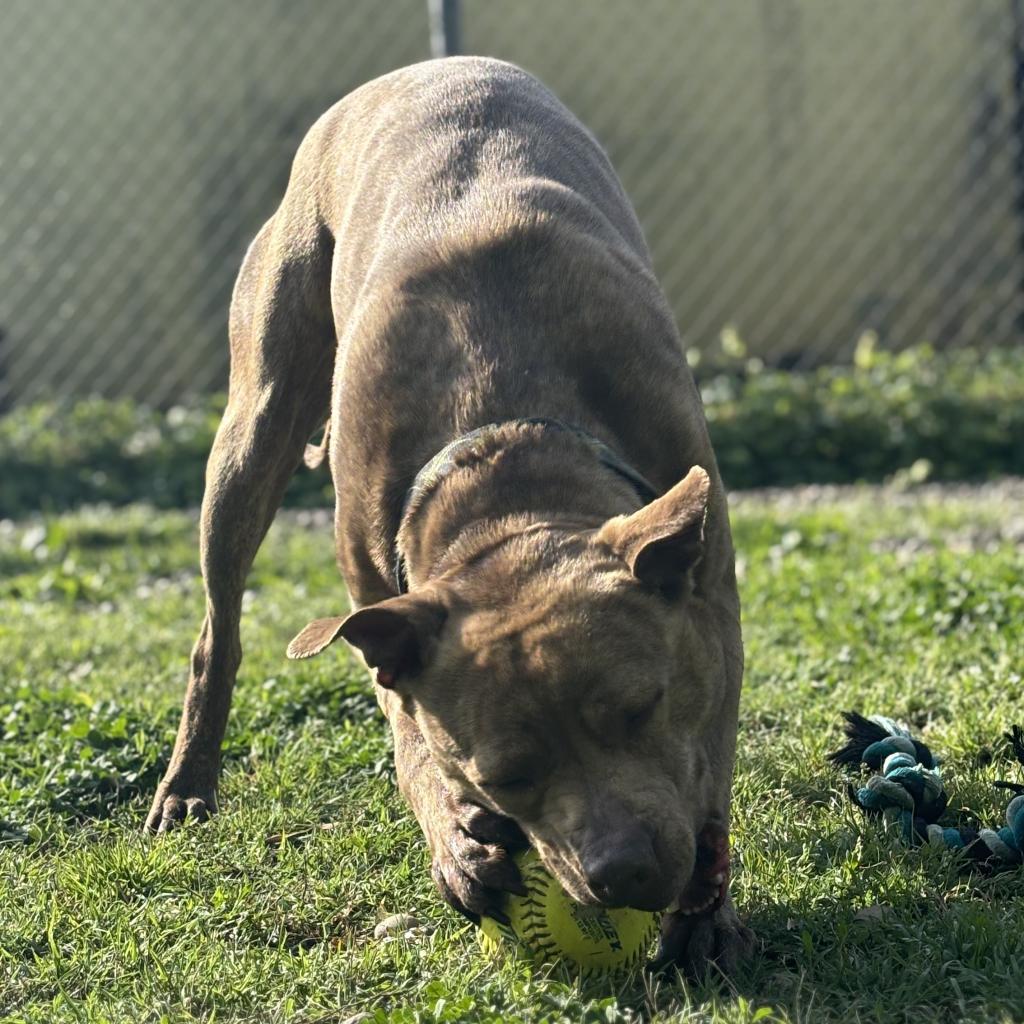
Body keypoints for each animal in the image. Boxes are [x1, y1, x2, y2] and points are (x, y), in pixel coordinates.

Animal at [144, 56, 753, 974]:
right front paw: (456, 843)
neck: (506, 464)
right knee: (218, 632)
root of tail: (415, 69)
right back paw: (187, 785)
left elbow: (709, 751)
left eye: (641, 709)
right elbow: (409, 742)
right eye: (507, 776)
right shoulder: (381, 616)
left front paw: (706, 912)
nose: (623, 873)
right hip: (252, 432)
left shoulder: (710, 601)